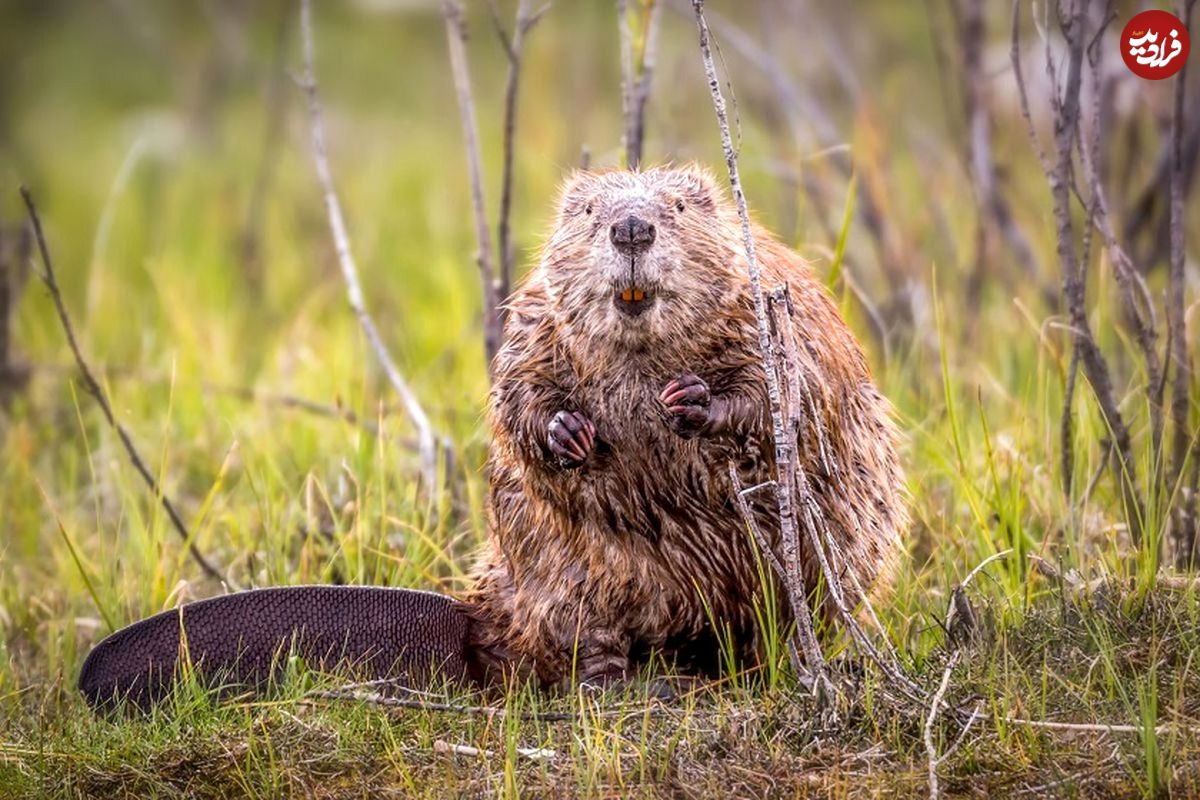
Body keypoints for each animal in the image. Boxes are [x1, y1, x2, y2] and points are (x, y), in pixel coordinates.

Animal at [79, 165, 902, 710]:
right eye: (590, 208)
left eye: (674, 204)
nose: (631, 228)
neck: (641, 349)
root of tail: (474, 625)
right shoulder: (535, 316)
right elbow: (516, 395)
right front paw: (571, 430)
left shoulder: (767, 306)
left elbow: (781, 390)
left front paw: (691, 400)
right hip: (566, 576)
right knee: (585, 636)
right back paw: (608, 683)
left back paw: (761, 664)